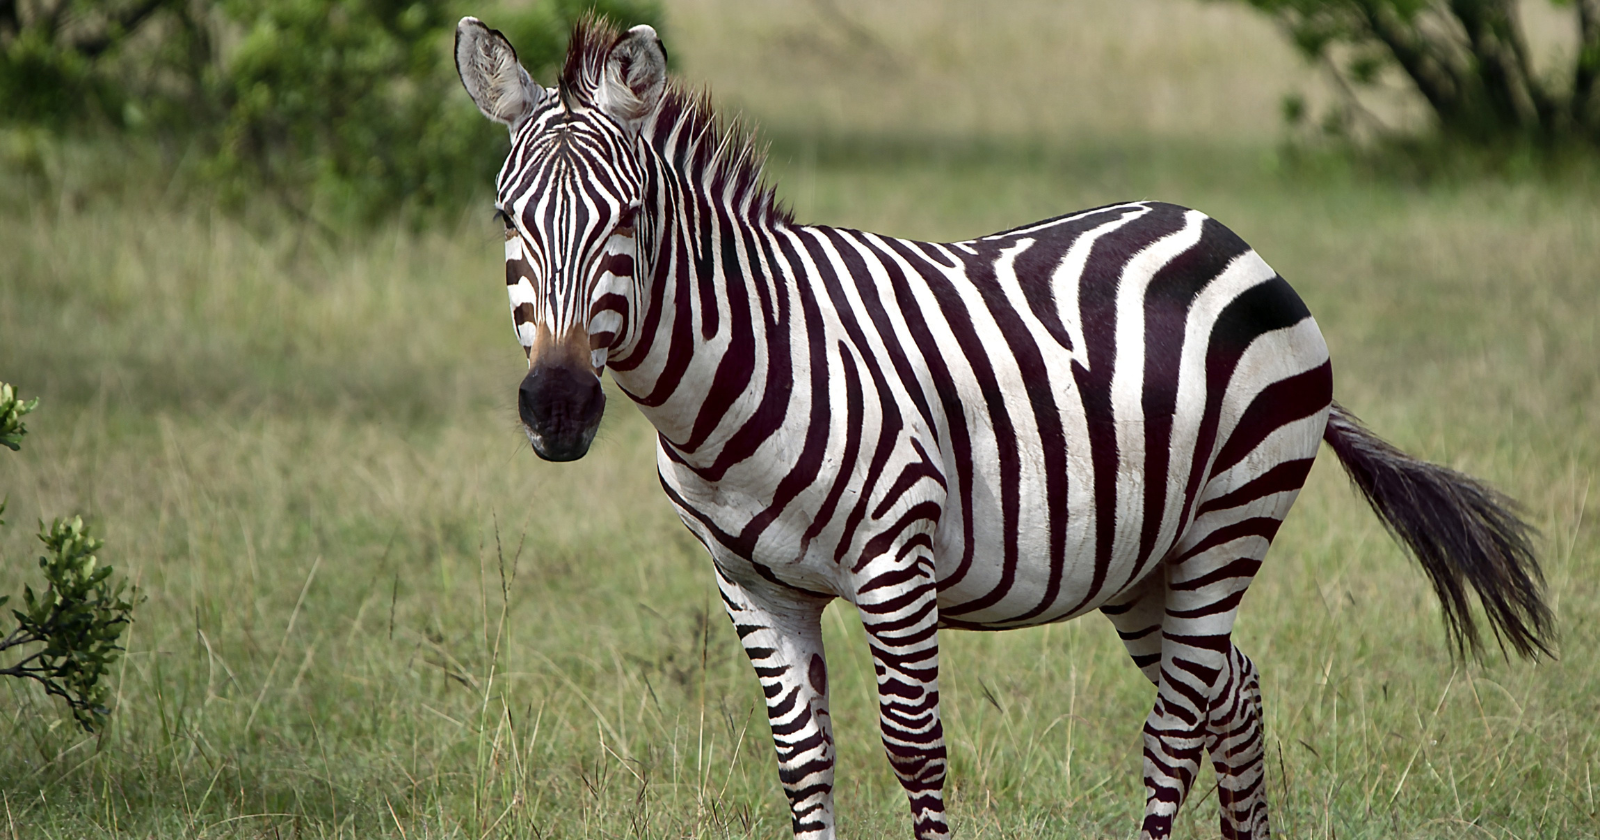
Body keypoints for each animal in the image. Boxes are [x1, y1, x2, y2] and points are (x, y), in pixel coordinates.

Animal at [454, 16, 1552, 840]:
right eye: (507, 221)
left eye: (629, 218)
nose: (558, 409)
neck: (742, 374)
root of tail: (1231, 237)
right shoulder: (751, 584)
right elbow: (804, 762)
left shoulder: (895, 565)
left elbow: (916, 752)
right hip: (1144, 557)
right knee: (1230, 695)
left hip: (1230, 520)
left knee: (1175, 729)